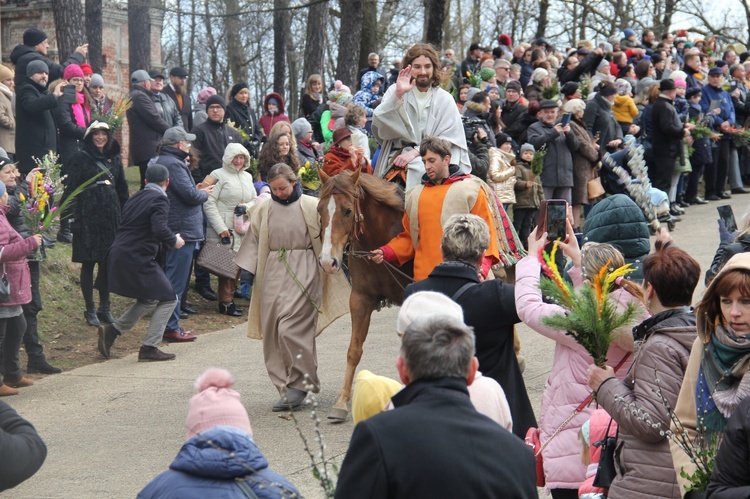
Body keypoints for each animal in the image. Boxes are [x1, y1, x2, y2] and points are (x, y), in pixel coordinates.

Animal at [316, 168, 414, 422]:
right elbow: (354, 350)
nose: (328, 261)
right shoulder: (360, 298)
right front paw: (341, 402)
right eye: (320, 210)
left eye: (348, 210)